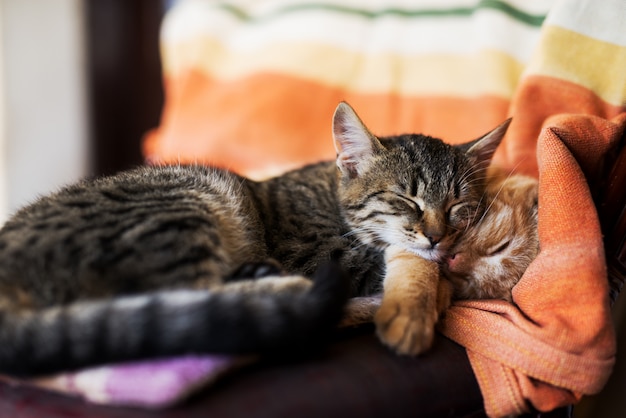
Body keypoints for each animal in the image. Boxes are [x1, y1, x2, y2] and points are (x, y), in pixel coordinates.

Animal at [0, 102, 504, 376]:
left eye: (458, 205)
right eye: (406, 200)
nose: (438, 236)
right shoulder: (323, 253)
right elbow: (406, 262)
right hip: (184, 204)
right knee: (194, 301)